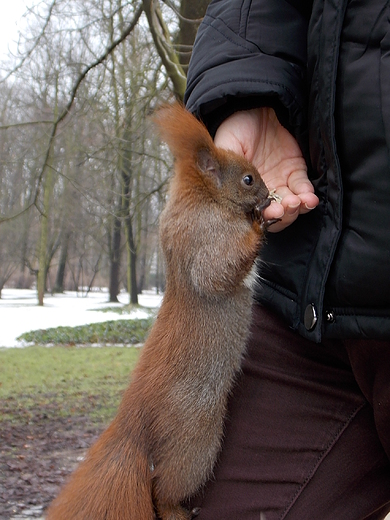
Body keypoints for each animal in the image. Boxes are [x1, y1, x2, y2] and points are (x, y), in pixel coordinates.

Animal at [47, 102, 272, 520]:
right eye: (249, 179)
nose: (268, 195)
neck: (203, 199)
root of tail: (135, 421)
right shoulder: (204, 240)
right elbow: (216, 271)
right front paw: (259, 224)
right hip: (196, 440)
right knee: (161, 486)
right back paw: (177, 510)